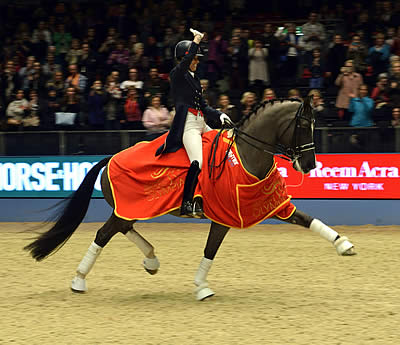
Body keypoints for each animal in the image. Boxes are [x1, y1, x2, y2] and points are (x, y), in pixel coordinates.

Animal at [24, 97, 356, 298]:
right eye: (302, 125)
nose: (310, 165)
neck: (246, 156)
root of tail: (110, 158)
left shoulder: (269, 204)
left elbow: (308, 219)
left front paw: (344, 245)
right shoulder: (223, 216)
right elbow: (210, 251)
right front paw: (202, 287)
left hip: (131, 210)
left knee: (122, 229)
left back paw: (151, 260)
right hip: (128, 208)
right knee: (103, 234)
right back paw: (79, 280)